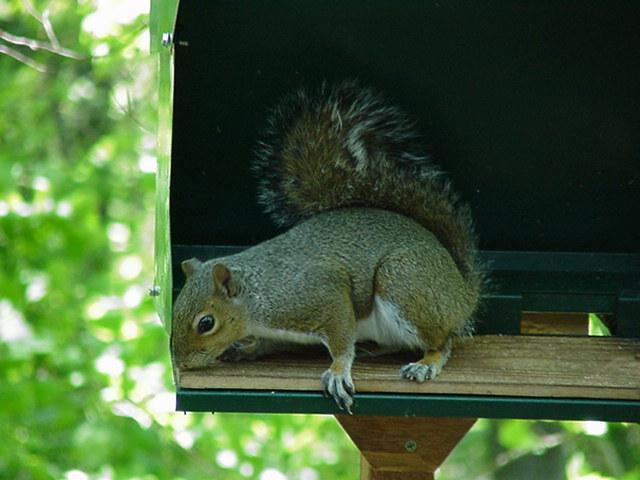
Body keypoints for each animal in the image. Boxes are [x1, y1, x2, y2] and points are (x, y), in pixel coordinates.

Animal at [168, 81, 482, 412]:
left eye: (206, 323)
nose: (182, 363)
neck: (257, 298)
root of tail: (463, 290)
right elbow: (268, 343)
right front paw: (246, 349)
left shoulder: (322, 294)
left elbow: (342, 338)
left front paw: (338, 371)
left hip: (405, 283)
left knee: (443, 341)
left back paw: (426, 363)